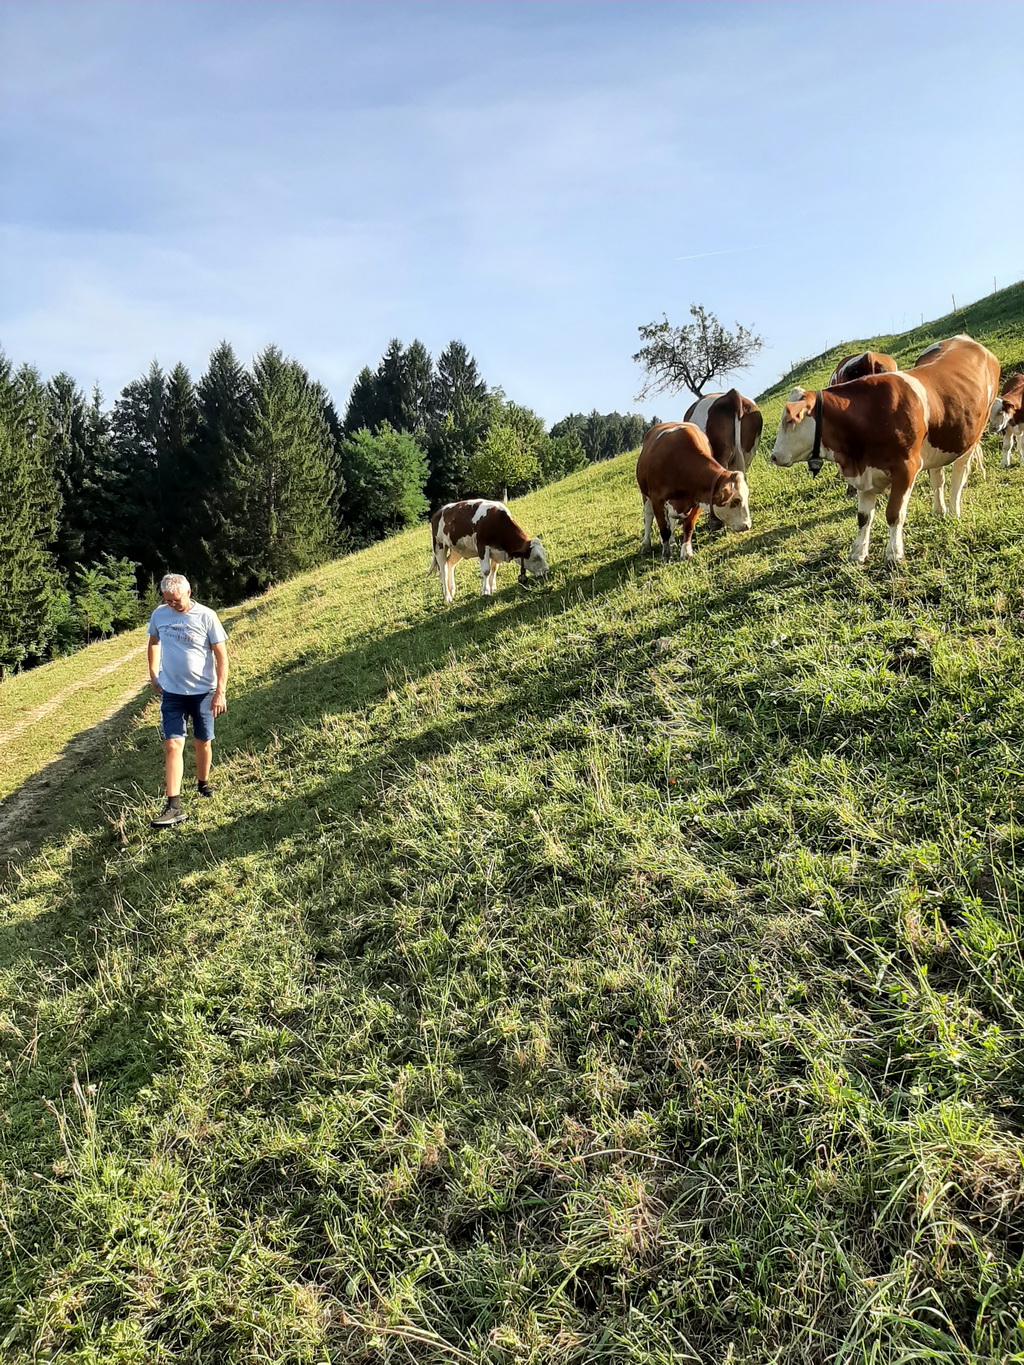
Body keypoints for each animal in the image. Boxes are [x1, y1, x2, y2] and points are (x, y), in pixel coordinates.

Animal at [633, 420, 753, 559]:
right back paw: (646, 545)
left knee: (672, 521)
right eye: (736, 500)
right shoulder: (657, 499)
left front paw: (686, 552)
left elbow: (688, 526)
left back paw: (673, 542)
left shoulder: (697, 498)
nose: (747, 525)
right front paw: (666, 555)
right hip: (645, 494)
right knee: (648, 516)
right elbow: (663, 529)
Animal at [770, 333, 1004, 562]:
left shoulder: (906, 468)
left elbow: (894, 514)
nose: (774, 456)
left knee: (959, 476)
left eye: (790, 420)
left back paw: (954, 512)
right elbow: (863, 517)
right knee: (938, 477)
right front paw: (858, 553)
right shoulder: (863, 472)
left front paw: (894, 553)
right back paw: (939, 511)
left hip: (971, 438)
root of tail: (964, 338)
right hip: (942, 438)